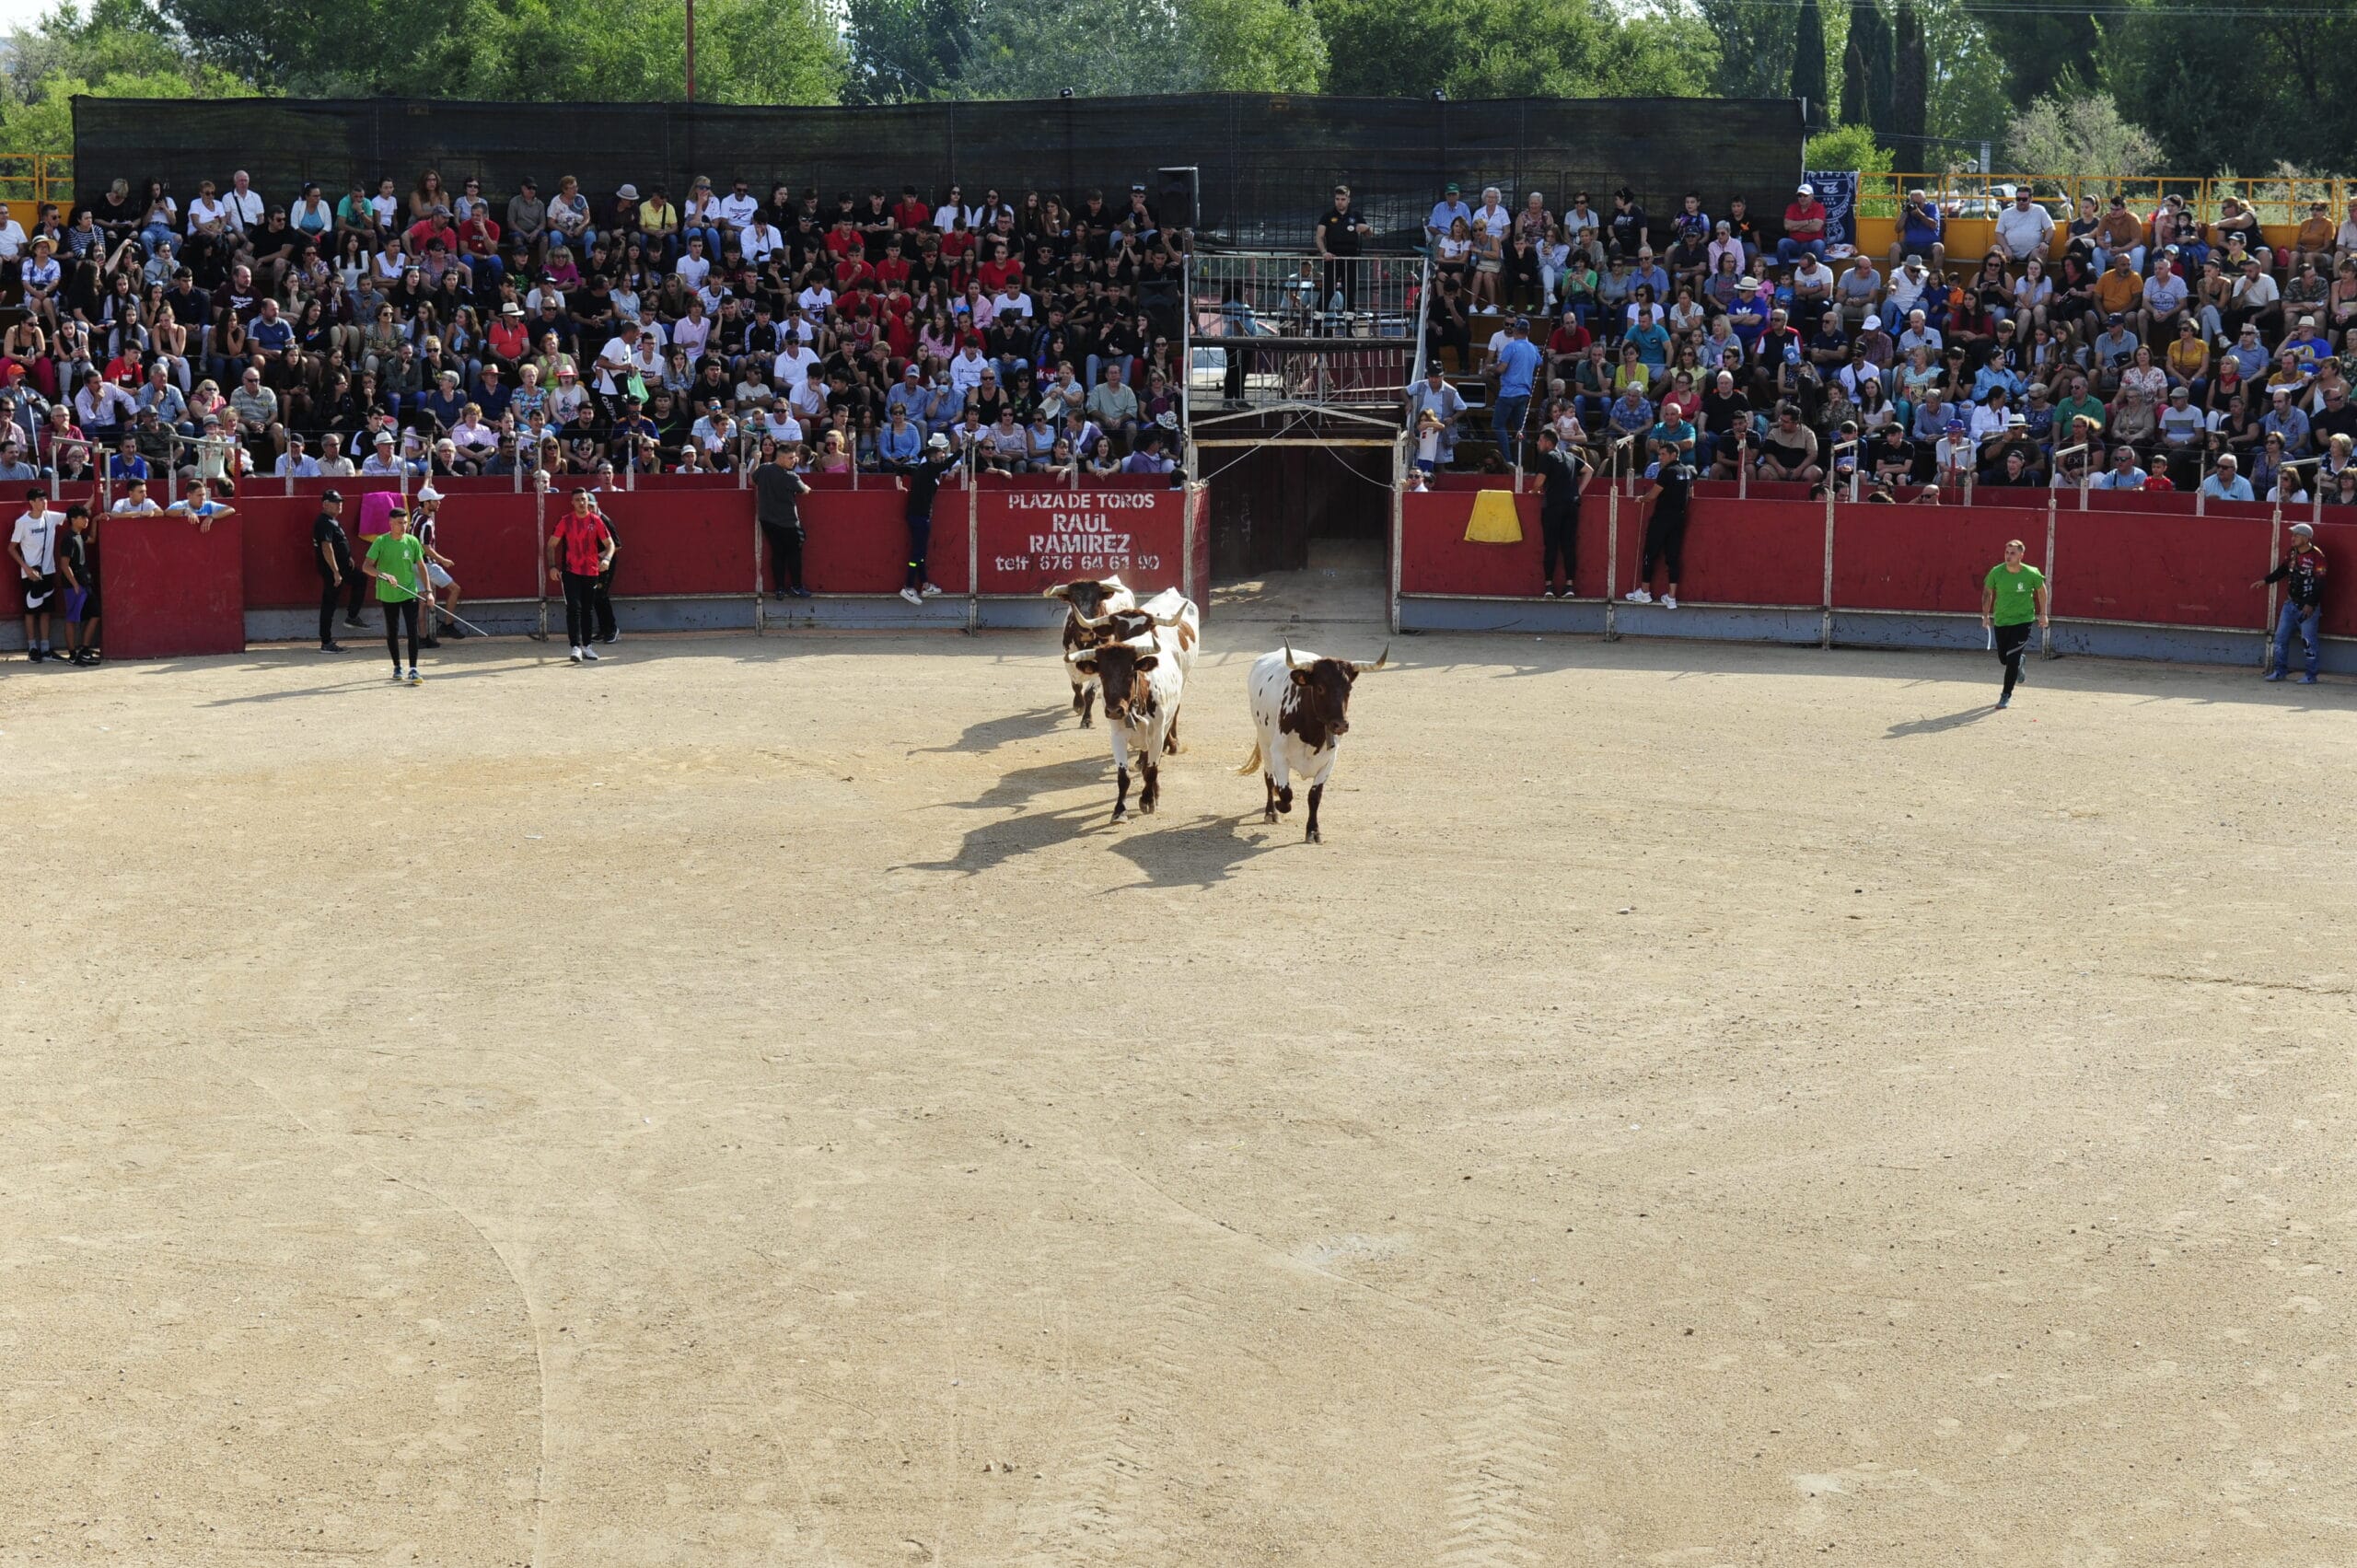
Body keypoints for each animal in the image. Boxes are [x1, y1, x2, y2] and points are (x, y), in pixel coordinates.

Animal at [1042, 576, 1136, 727]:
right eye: (1073, 602)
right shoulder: (1069, 662)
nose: (1085, 630)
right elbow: (1076, 686)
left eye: (1098, 602)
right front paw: (1078, 705)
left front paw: (1087, 719)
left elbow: (1089, 693)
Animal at [1066, 589, 1200, 822]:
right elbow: (1123, 776)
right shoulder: (1117, 736)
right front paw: (1120, 810)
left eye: (1130, 673)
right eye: (1103, 674)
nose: (1114, 710)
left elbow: (1152, 769)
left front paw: (1148, 799)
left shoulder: (1157, 734)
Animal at [1236, 639, 1389, 843]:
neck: (1311, 734)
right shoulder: (1279, 755)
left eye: (1349, 689)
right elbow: (1286, 794)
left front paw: (1313, 830)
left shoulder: (1329, 761)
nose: (1341, 725)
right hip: (1264, 740)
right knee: (1268, 778)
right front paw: (1279, 803)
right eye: (1320, 688)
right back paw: (1271, 811)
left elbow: (1314, 796)